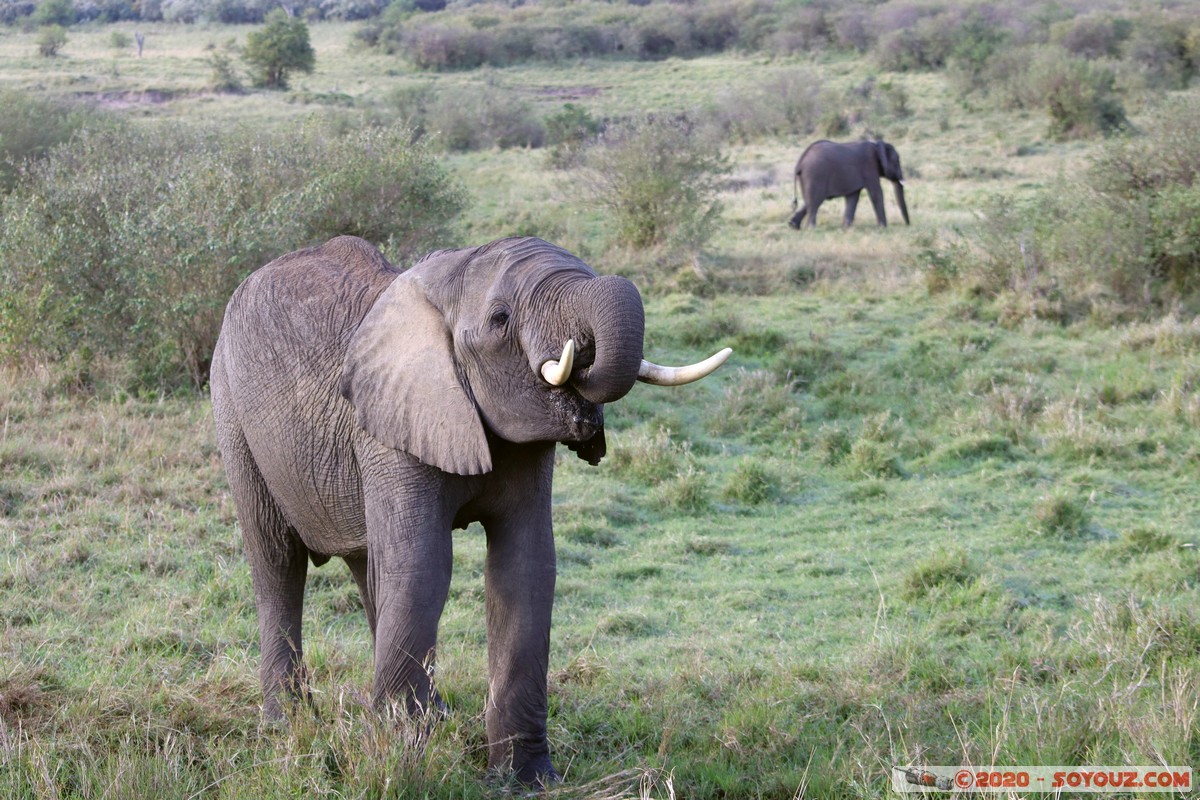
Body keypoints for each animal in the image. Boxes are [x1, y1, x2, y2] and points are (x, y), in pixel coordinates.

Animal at [208, 235, 729, 786]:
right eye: (500, 319)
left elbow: (525, 568)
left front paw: (524, 781)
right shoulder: (393, 427)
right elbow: (423, 566)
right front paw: (400, 762)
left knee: (368, 567)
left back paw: (429, 714)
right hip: (232, 413)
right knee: (278, 561)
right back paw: (287, 725)